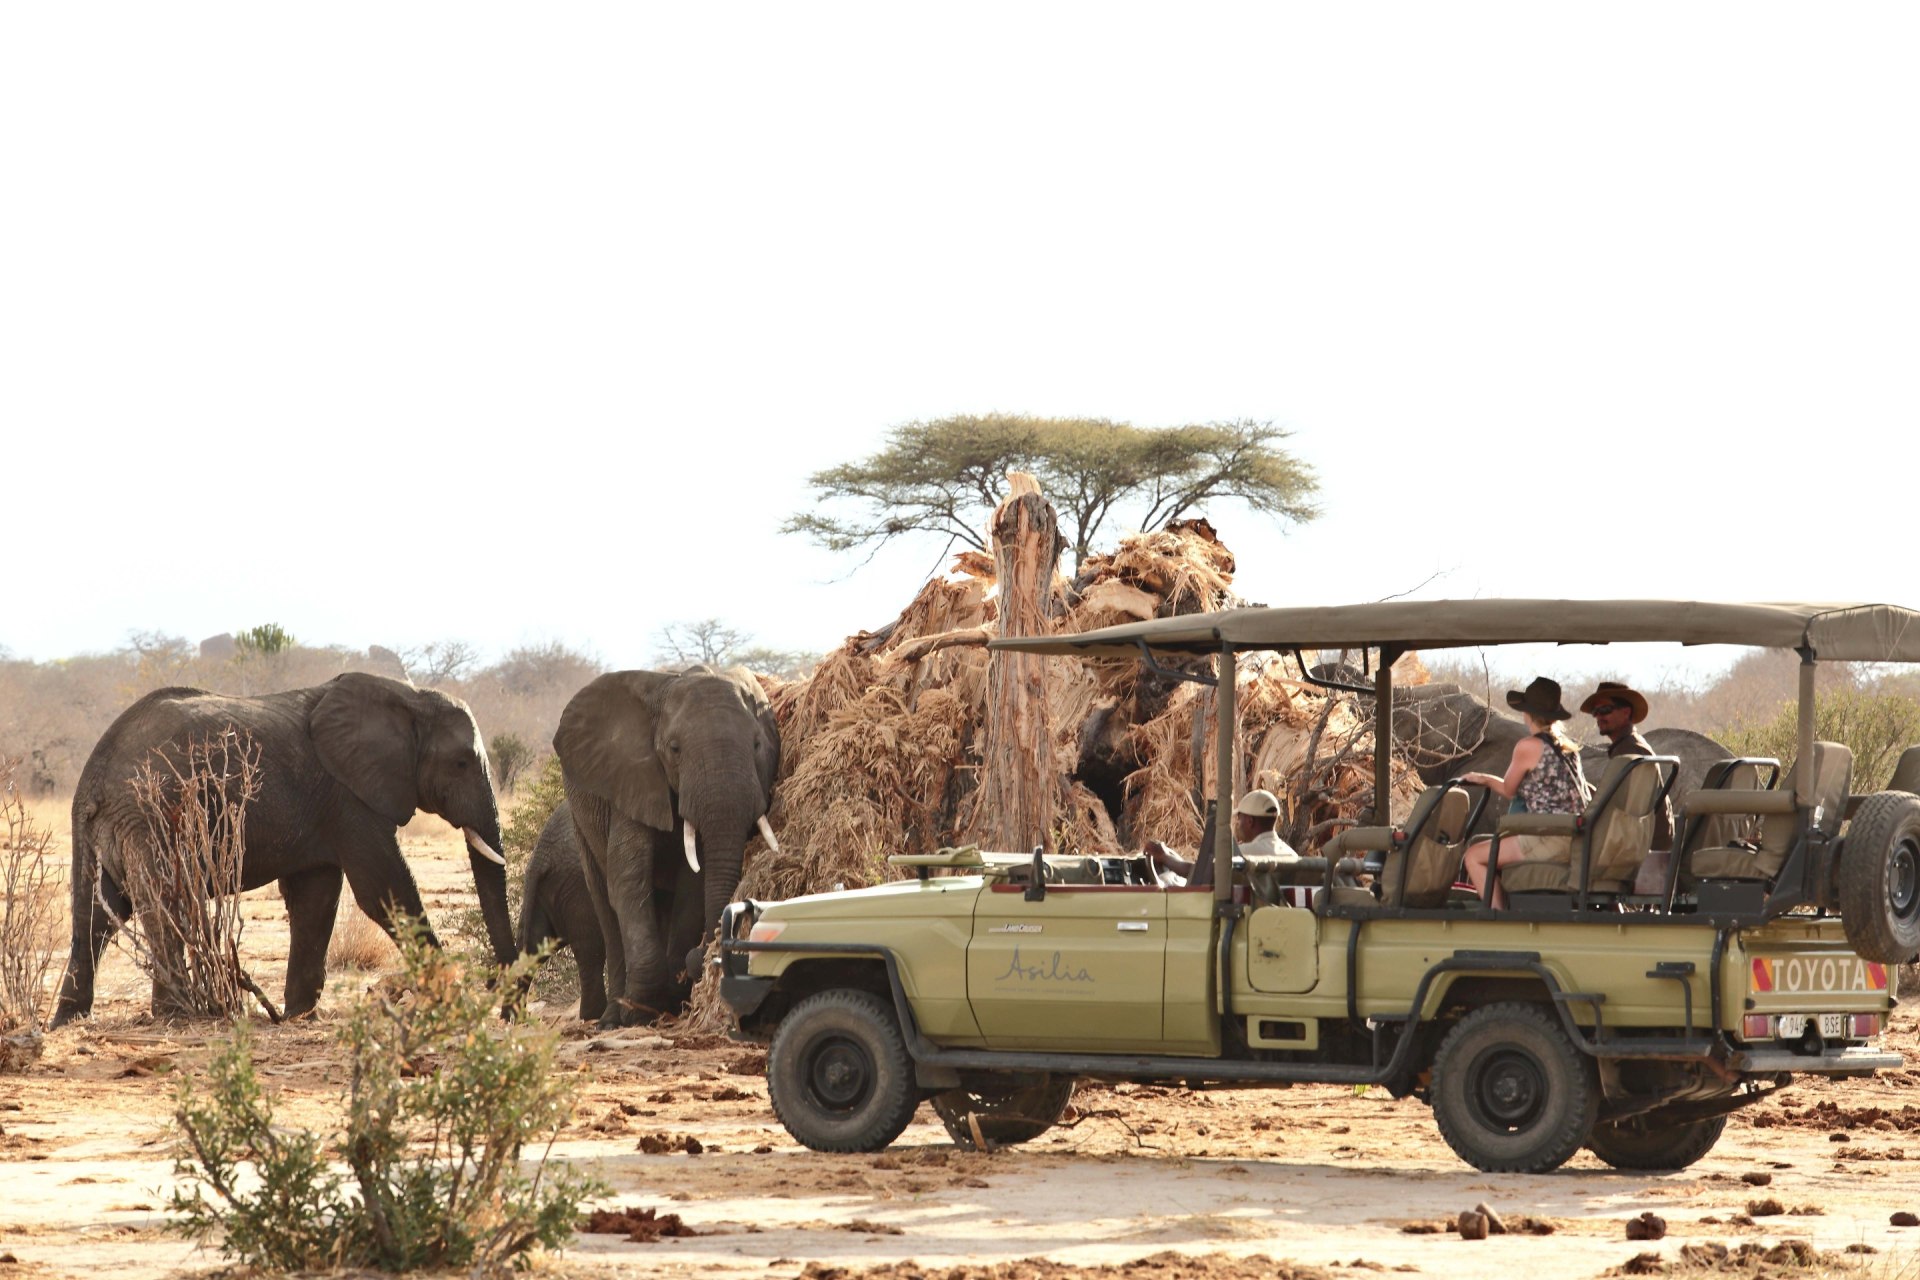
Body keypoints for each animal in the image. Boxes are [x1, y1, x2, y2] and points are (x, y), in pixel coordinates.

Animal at [53, 675, 518, 1028]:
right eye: (461, 763)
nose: (506, 1011)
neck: (410, 696)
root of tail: (96, 772)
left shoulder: (327, 809)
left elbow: (316, 898)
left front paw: (298, 1014)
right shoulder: (351, 797)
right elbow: (384, 889)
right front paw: (453, 996)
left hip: (104, 826)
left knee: (95, 913)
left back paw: (68, 1019)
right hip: (152, 815)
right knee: (164, 901)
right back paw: (179, 1015)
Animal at [552, 667, 775, 1028]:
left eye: (757, 744)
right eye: (674, 749)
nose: (700, 957)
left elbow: (692, 884)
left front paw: (664, 999)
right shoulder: (632, 777)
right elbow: (628, 877)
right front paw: (638, 1011)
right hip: (580, 820)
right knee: (605, 903)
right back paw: (611, 1018)